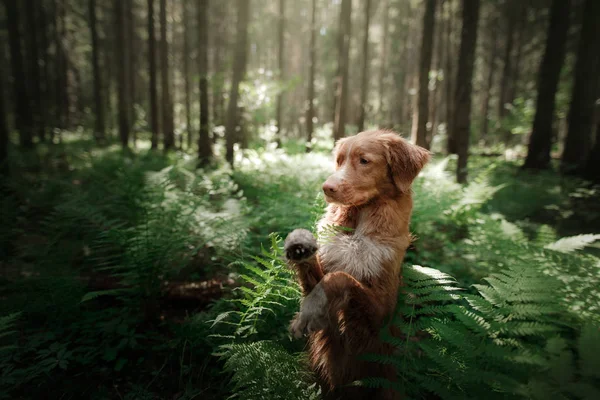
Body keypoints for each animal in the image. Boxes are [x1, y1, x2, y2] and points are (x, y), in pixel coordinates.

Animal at [284, 130, 428, 398]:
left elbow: (340, 278)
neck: (360, 224)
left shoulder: (381, 315)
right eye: (339, 160)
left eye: (364, 161)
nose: (326, 188)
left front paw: (307, 314)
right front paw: (300, 244)